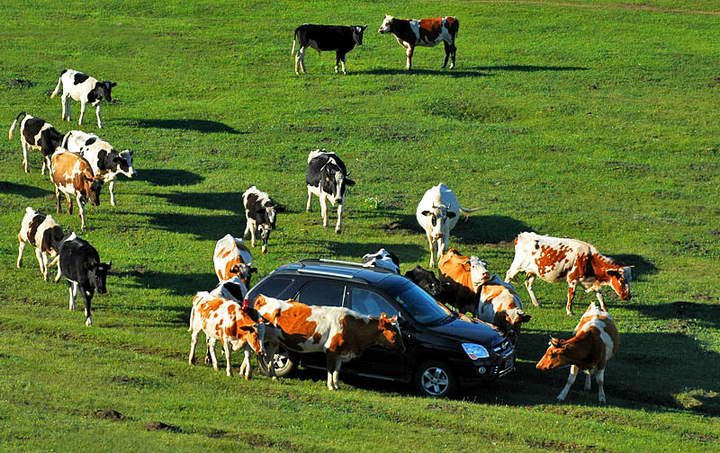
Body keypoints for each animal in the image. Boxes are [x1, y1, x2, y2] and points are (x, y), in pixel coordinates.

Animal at [253, 294, 402, 390]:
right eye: (395, 333)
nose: (404, 348)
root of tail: (263, 298)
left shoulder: (341, 352)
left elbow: (337, 370)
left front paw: (337, 386)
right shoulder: (331, 350)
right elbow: (330, 369)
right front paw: (330, 386)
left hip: (274, 341)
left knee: (270, 357)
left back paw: (273, 376)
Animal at [504, 233, 632, 314]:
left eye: (629, 280)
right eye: (622, 280)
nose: (628, 296)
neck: (589, 259)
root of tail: (522, 235)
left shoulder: (593, 282)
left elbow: (600, 296)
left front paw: (605, 311)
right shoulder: (572, 279)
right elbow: (571, 295)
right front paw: (570, 311)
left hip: (532, 271)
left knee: (528, 284)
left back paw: (537, 304)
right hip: (517, 266)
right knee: (508, 277)